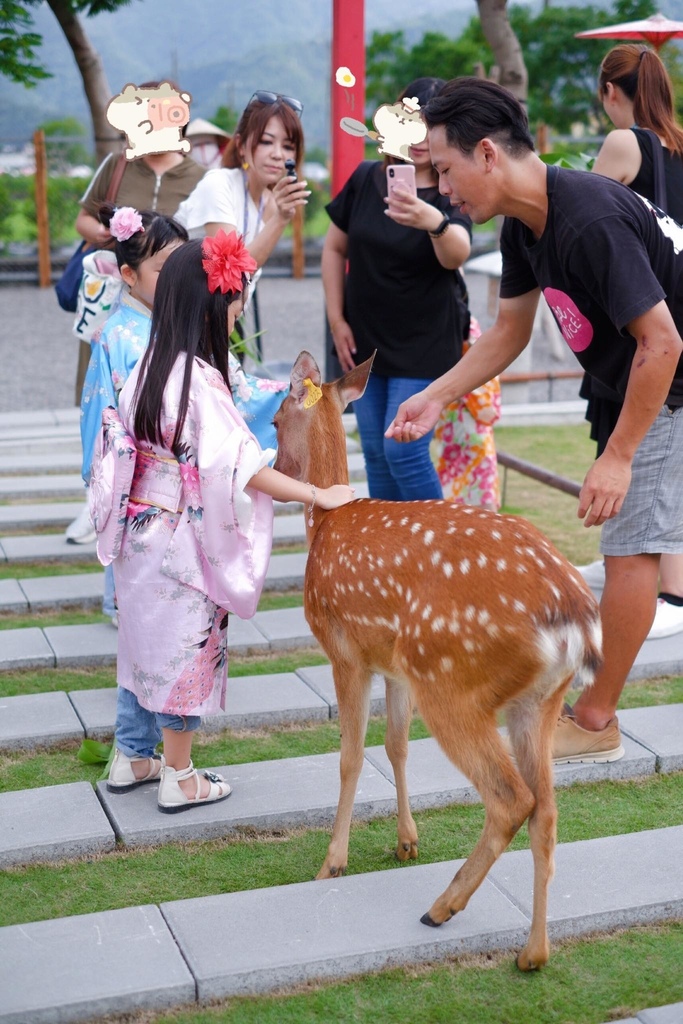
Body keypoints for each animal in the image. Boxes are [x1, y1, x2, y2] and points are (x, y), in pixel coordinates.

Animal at [274, 350, 602, 966]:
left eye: (276, 419)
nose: (276, 475)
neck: (324, 524)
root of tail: (573, 617)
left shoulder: (345, 651)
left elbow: (350, 756)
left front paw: (332, 862)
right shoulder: (394, 665)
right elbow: (395, 745)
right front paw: (406, 841)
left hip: (451, 680)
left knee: (511, 800)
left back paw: (443, 906)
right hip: (535, 699)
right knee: (547, 811)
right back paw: (533, 952)